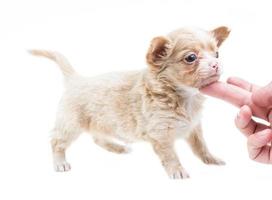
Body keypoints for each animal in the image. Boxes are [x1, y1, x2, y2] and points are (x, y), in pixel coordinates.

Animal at [29, 26, 230, 178]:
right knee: (57, 141)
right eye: (191, 58)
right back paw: (60, 162)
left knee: (97, 138)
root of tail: (76, 79)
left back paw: (116, 147)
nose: (216, 65)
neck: (184, 97)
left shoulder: (194, 127)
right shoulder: (161, 135)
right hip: (71, 125)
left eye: (217, 54)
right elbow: (170, 155)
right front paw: (177, 170)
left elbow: (201, 146)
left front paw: (211, 159)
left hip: (102, 122)